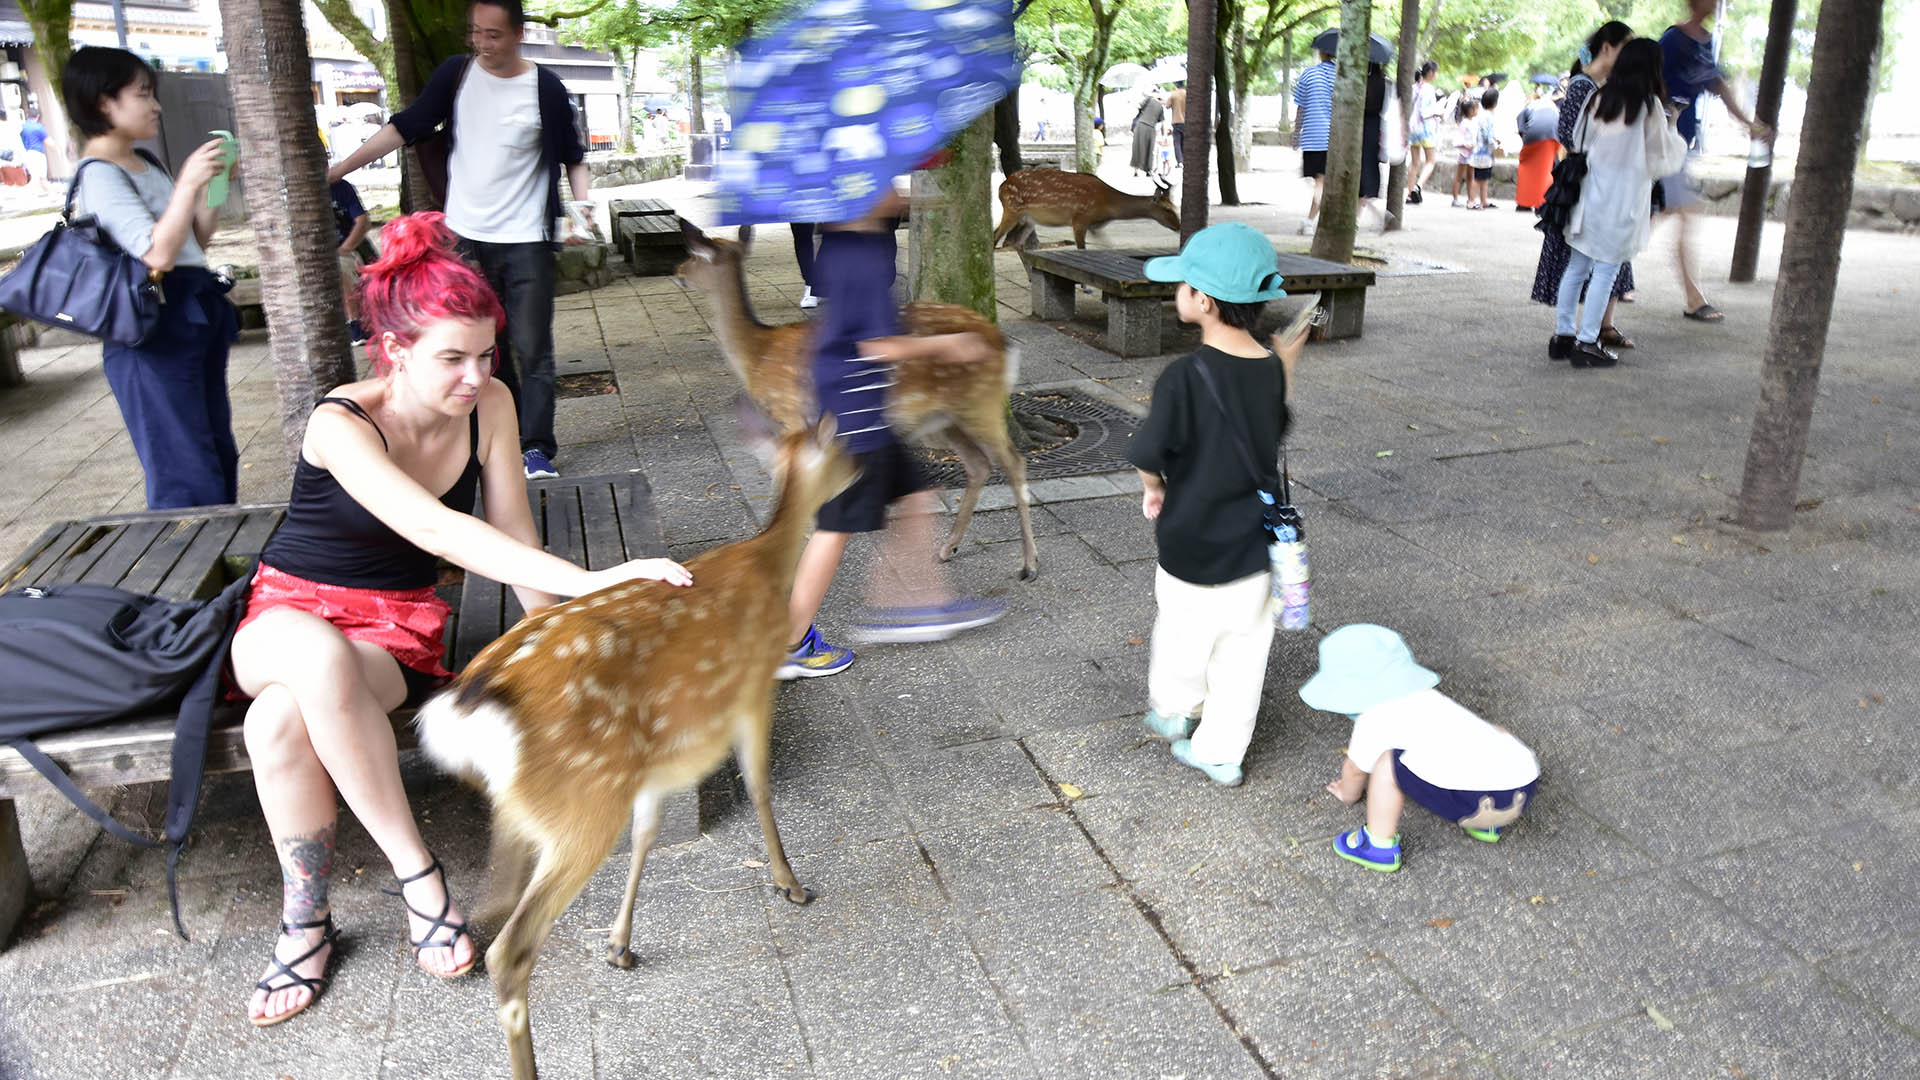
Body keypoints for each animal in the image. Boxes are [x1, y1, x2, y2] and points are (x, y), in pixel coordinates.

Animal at [418, 420, 856, 1076]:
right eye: (841, 446)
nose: (862, 468)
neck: (767, 561)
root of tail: (472, 702)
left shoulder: (654, 766)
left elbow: (648, 833)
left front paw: (620, 945)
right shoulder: (753, 692)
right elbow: (759, 786)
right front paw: (791, 884)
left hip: (525, 808)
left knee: (493, 904)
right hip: (586, 799)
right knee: (510, 949)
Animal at [672, 220, 1036, 584]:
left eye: (694, 255)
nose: (677, 272)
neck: (757, 355)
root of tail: (1004, 343)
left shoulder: (792, 414)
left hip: (981, 402)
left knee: (1014, 461)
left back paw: (1028, 564)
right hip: (945, 418)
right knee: (979, 465)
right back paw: (948, 549)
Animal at [990, 168, 1182, 249]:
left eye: (1175, 206)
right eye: (1167, 209)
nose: (1179, 226)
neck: (1106, 205)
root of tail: (1001, 186)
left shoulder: (1094, 226)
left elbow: (1108, 245)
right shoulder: (1080, 218)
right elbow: (1081, 248)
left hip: (1029, 220)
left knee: (1017, 243)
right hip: (1011, 209)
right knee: (994, 236)